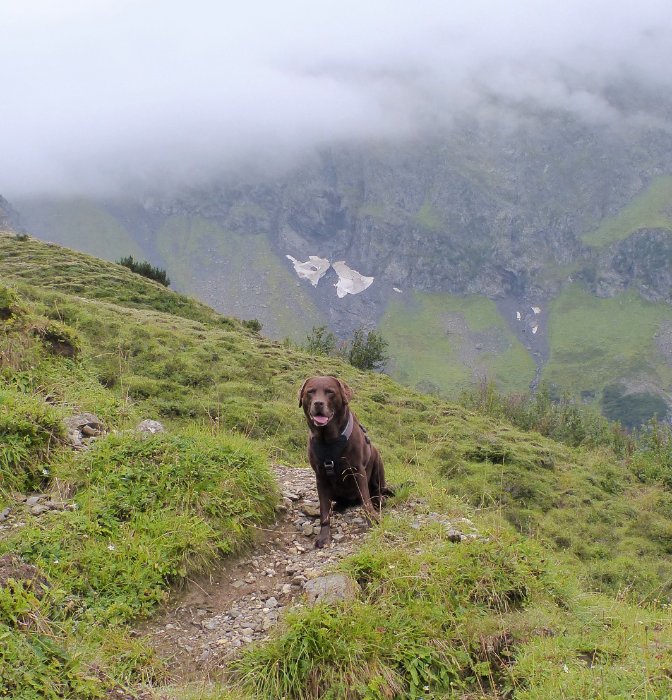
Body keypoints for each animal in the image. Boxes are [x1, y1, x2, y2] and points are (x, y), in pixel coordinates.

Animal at [298, 378, 388, 548]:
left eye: (330, 392)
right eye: (310, 392)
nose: (318, 403)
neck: (328, 440)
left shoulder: (358, 470)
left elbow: (366, 500)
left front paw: (372, 520)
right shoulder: (320, 477)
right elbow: (324, 512)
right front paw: (323, 536)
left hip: (378, 464)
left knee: (375, 491)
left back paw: (378, 500)